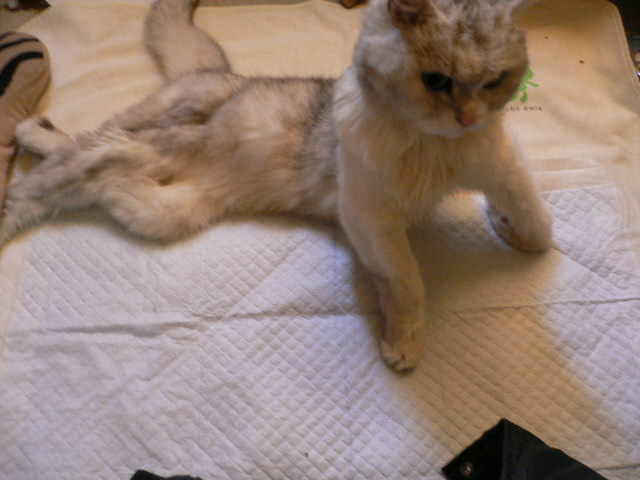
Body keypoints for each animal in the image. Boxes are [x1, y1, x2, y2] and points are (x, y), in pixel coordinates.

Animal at [6, 0, 552, 370]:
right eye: (436, 80)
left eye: (496, 81)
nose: (467, 117)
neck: (436, 146)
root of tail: (222, 73)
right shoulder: (369, 215)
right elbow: (406, 282)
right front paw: (405, 343)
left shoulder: (502, 164)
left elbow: (539, 222)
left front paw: (507, 225)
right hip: (155, 135)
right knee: (76, 155)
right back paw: (23, 160)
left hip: (168, 209)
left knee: (100, 175)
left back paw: (50, 146)